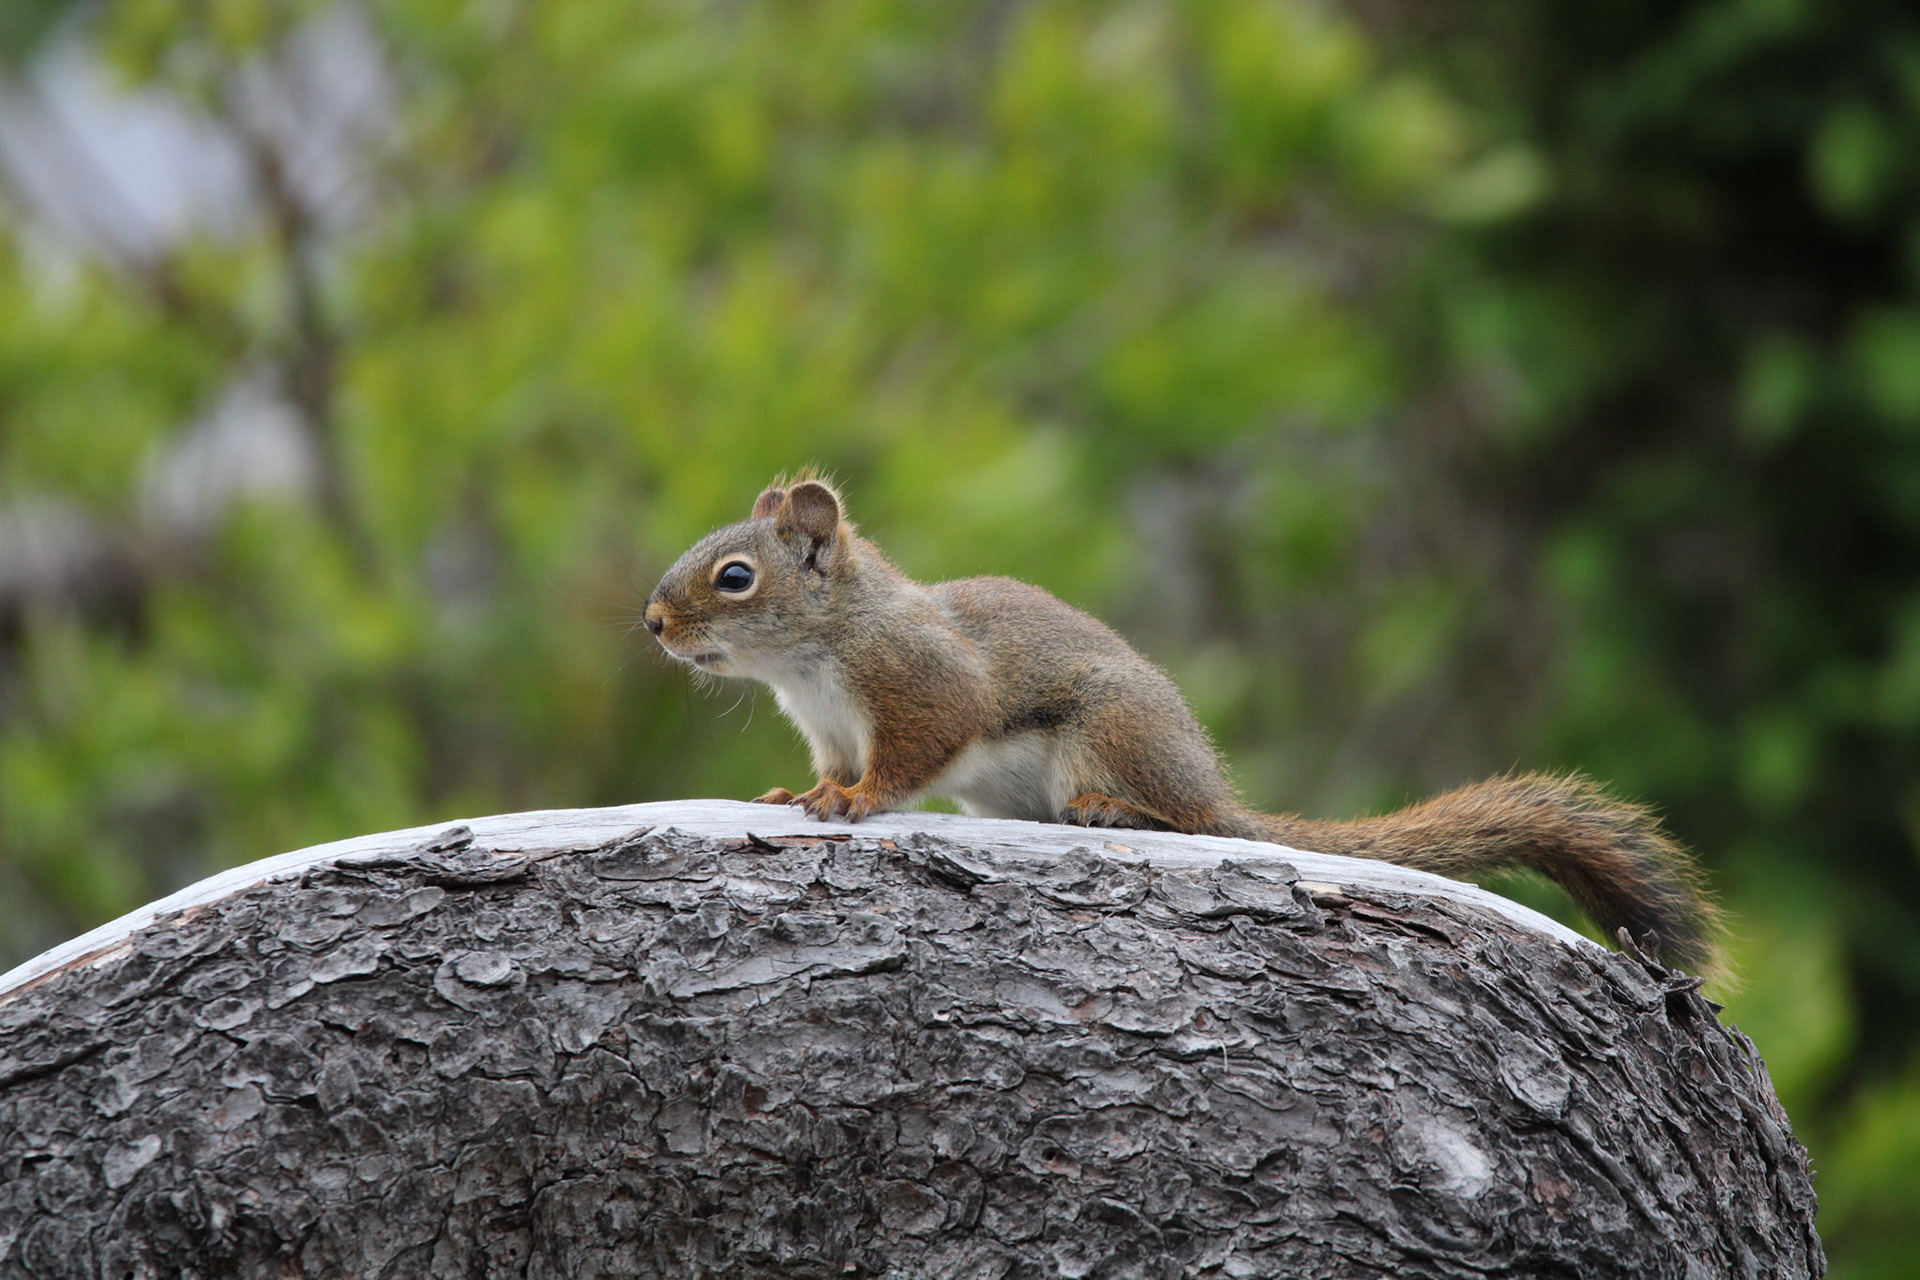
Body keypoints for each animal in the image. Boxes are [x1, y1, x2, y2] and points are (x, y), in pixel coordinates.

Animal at [645, 475, 1719, 973]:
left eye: (734, 578)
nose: (652, 623)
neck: (818, 652)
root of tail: (1211, 784)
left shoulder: (920, 691)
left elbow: (911, 758)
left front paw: (858, 803)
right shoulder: (829, 725)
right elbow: (826, 768)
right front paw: (796, 794)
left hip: (1109, 732)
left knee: (1185, 822)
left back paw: (1118, 814)